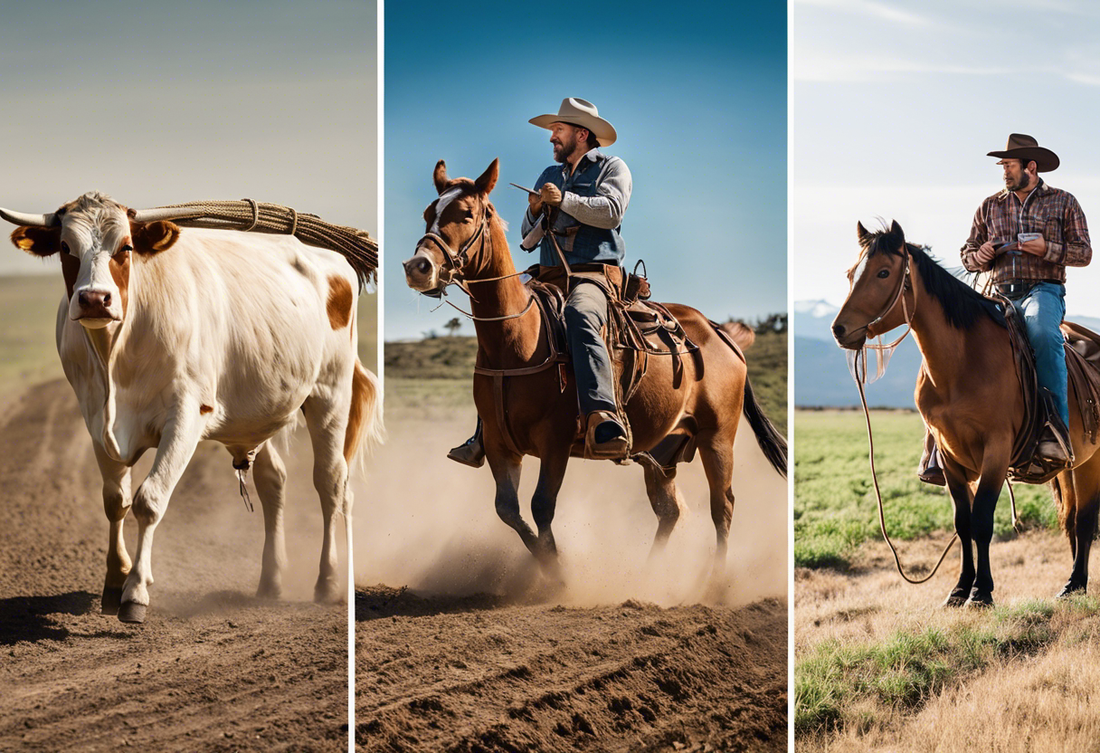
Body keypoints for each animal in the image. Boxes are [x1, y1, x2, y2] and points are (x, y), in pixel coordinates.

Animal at [2, 192, 381, 623]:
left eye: (125, 247)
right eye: (66, 247)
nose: (95, 299)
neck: (116, 352)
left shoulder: (185, 416)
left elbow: (149, 500)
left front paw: (135, 592)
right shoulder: (95, 418)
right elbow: (115, 501)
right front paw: (114, 582)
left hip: (329, 394)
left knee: (331, 483)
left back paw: (328, 581)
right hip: (262, 408)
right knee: (274, 482)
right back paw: (270, 581)